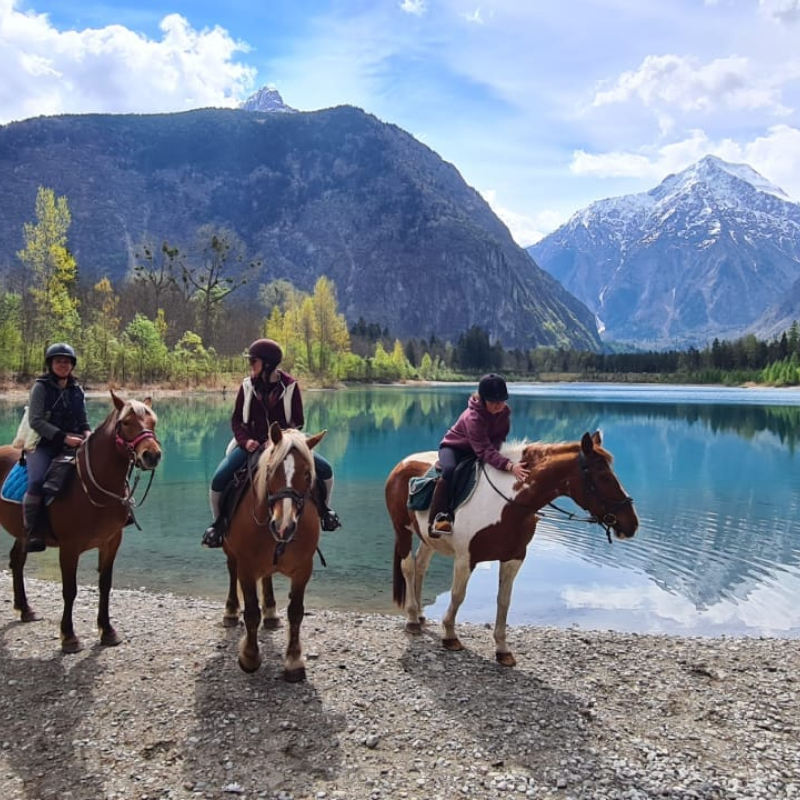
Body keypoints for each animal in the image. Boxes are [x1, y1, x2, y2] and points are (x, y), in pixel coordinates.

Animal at [0, 390, 161, 652]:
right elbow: (70, 590)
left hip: (23, 533)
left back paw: (25, 609)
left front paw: (107, 630)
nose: (152, 455)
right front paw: (69, 636)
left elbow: (105, 585)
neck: (92, 487)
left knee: (17, 560)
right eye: (126, 422)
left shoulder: (111, 542)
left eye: (153, 422)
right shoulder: (69, 547)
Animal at [222, 422, 324, 680]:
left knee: (267, 577)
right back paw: (230, 612)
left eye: (307, 474)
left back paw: (270, 613)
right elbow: (251, 613)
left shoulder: (303, 569)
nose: (283, 525)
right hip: (230, 552)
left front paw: (294, 662)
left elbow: (296, 612)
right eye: (270, 470)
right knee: (231, 572)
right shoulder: (246, 568)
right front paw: (249, 657)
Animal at [384, 432, 640, 664]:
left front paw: (503, 649)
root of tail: (402, 463)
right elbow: (458, 595)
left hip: (428, 538)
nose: (632, 524)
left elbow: (504, 601)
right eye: (603, 476)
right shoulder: (466, 559)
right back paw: (412, 620)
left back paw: (420, 614)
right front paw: (450, 636)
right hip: (402, 529)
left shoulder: (514, 558)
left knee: (420, 565)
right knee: (408, 567)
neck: (508, 504)